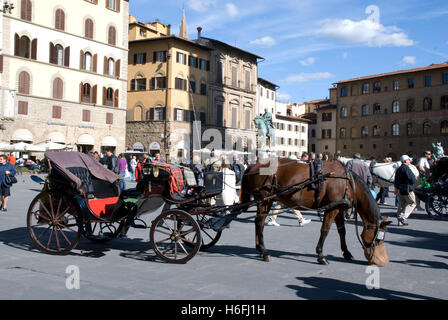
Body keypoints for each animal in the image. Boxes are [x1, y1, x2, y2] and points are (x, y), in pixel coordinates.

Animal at [242, 159, 392, 266]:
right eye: (379, 237)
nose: (382, 261)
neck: (348, 183)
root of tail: (253, 166)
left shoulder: (339, 209)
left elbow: (341, 231)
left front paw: (346, 252)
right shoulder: (332, 209)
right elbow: (325, 230)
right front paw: (320, 255)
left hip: (263, 202)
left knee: (257, 222)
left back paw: (259, 249)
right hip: (265, 201)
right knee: (260, 223)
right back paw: (264, 251)